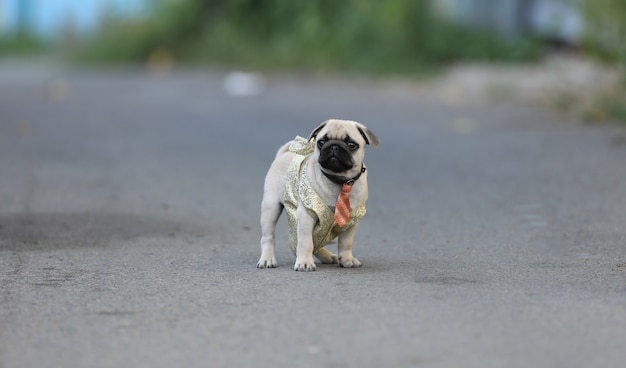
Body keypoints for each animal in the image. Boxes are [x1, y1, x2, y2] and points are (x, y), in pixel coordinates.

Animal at [256, 119, 378, 272]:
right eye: (321, 142)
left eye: (351, 144)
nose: (334, 146)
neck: (340, 181)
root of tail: (284, 154)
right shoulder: (306, 216)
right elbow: (305, 242)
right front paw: (304, 263)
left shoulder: (351, 221)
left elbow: (346, 243)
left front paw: (347, 259)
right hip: (270, 207)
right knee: (268, 237)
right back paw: (267, 259)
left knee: (317, 242)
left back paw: (327, 257)